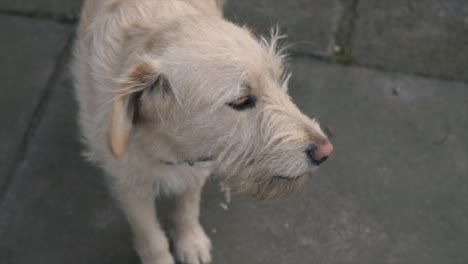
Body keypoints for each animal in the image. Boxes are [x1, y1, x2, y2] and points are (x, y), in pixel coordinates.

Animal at [73, 0, 332, 264]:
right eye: (241, 101)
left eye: (278, 81)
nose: (325, 151)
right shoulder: (128, 184)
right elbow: (150, 235)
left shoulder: (198, 164)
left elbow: (188, 208)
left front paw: (190, 242)